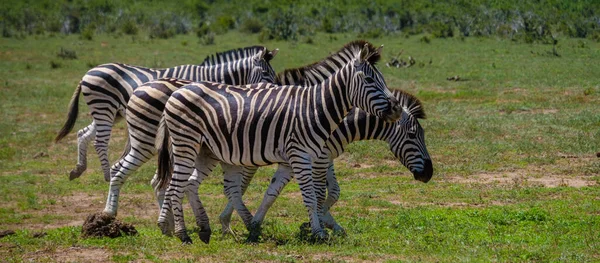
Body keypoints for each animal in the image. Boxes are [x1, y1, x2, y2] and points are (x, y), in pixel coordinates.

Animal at [52, 46, 278, 182]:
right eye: (265, 74)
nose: (276, 89)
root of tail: (87, 73)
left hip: (110, 112)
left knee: (82, 133)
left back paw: (78, 170)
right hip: (104, 107)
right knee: (99, 141)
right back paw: (108, 176)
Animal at [218, 88, 434, 237]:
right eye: (412, 135)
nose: (429, 173)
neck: (341, 124)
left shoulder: (325, 157)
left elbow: (333, 191)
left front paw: (327, 222)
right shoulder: (317, 158)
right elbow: (318, 193)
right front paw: (317, 224)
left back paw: (227, 222)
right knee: (240, 183)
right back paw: (225, 221)